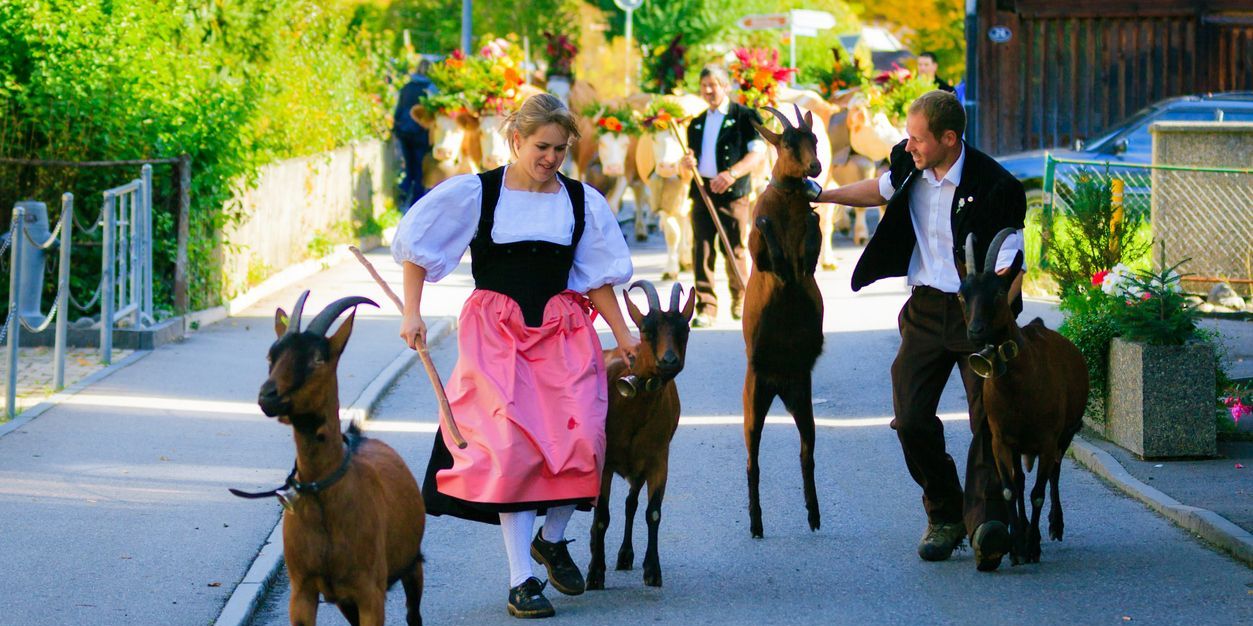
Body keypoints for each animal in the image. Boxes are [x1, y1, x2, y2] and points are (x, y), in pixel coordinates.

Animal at [256, 292, 428, 626]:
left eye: (318, 358)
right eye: (271, 356)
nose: (267, 395)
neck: (324, 498)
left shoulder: (370, 592)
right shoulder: (302, 590)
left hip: (411, 562)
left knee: (414, 611)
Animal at [586, 281, 696, 588]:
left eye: (684, 330)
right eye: (647, 331)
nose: (669, 360)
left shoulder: (658, 458)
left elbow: (653, 512)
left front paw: (652, 571)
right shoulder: (605, 462)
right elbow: (602, 515)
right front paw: (595, 573)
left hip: (639, 464)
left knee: (630, 503)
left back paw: (625, 555)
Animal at [957, 232, 1087, 565]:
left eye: (999, 292)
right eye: (962, 295)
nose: (975, 331)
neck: (1018, 388)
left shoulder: (1047, 438)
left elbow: (1038, 492)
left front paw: (1033, 545)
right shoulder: (1001, 439)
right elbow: (1009, 489)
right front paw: (1016, 545)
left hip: (1066, 432)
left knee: (1054, 473)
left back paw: (1054, 526)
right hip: (1019, 443)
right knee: (1020, 480)